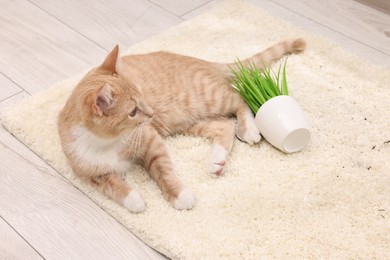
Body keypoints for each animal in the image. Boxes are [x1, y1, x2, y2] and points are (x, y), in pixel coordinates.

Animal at [58, 39, 304, 213]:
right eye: (133, 111)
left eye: (141, 95)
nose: (150, 113)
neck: (107, 142)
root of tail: (200, 60)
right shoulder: (90, 173)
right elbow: (114, 187)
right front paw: (134, 200)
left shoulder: (151, 140)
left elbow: (163, 170)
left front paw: (179, 195)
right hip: (186, 122)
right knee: (225, 126)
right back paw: (217, 160)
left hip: (207, 98)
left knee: (239, 99)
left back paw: (249, 129)